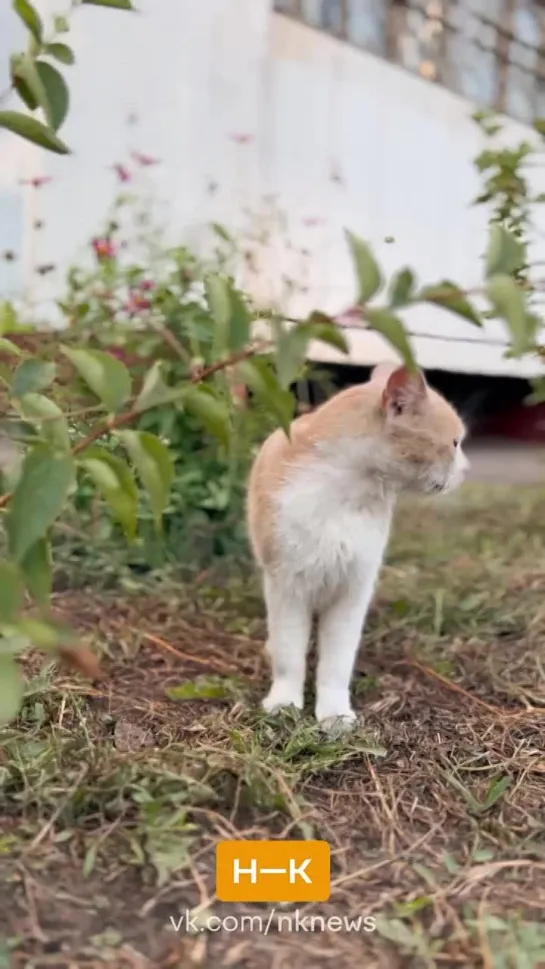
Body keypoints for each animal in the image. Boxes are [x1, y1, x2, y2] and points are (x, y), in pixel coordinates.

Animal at [246, 364, 468, 732]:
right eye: (454, 442)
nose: (467, 470)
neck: (343, 492)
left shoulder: (353, 590)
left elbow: (337, 662)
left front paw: (334, 714)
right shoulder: (287, 587)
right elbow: (290, 654)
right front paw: (285, 703)